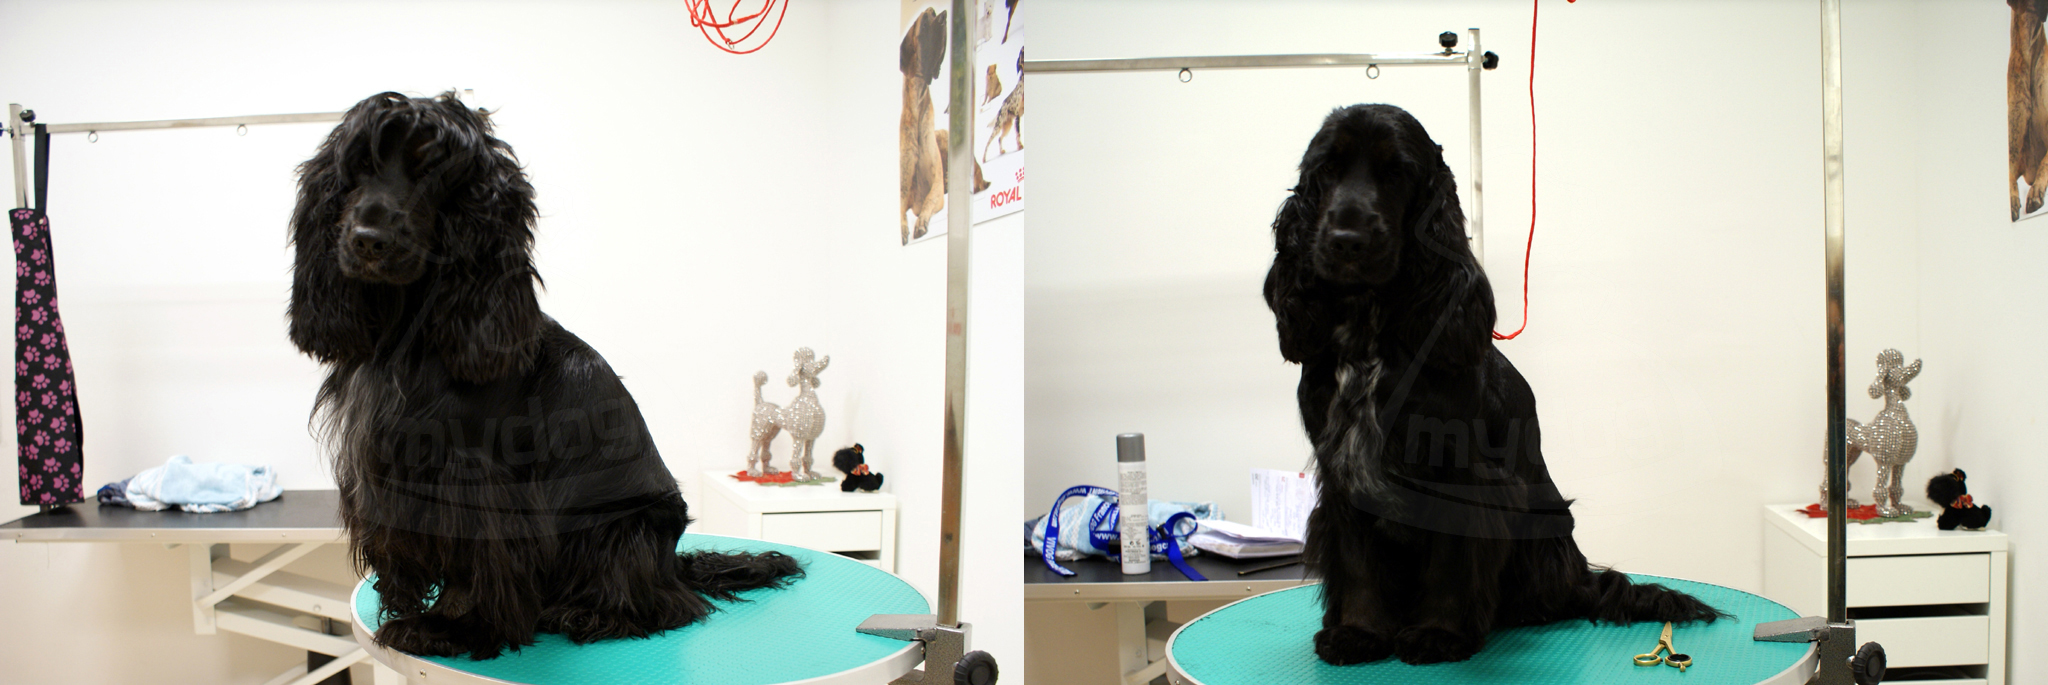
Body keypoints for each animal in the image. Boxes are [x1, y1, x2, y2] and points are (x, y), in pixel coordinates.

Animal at [289, 91, 802, 660]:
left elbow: (479, 566)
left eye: (431, 168)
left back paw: (587, 613)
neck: (413, 331)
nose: (367, 240)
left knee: (668, 604)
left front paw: (455, 626)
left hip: (625, 525)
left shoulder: (471, 474)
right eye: (358, 165)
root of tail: (673, 564)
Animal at [1263, 104, 1724, 666]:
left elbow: (1451, 563)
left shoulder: (1462, 473)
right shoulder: (1343, 473)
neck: (1371, 332)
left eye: (1397, 172)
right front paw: (1357, 632)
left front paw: (1438, 633)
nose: (1346, 242)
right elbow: (1357, 566)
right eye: (1327, 169)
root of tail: (1579, 577)